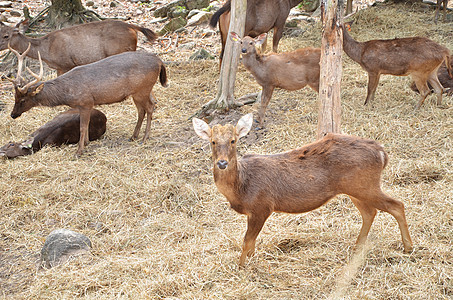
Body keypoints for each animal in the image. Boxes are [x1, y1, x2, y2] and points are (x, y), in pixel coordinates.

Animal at [7, 44, 167, 157]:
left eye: (22, 100)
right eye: (14, 97)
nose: (13, 114)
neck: (67, 93)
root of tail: (160, 61)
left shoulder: (86, 102)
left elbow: (82, 127)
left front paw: (79, 151)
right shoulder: (84, 106)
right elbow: (85, 124)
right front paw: (86, 143)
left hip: (143, 89)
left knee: (150, 107)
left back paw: (144, 138)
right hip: (138, 92)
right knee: (143, 109)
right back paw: (133, 136)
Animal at [192, 113, 412, 266]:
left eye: (233, 141)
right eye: (212, 141)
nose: (222, 163)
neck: (241, 188)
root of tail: (382, 152)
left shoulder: (262, 206)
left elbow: (247, 241)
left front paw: (241, 266)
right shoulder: (253, 212)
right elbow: (252, 244)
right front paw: (250, 262)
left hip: (365, 185)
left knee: (397, 205)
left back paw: (408, 247)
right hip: (355, 188)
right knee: (370, 212)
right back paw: (358, 248)